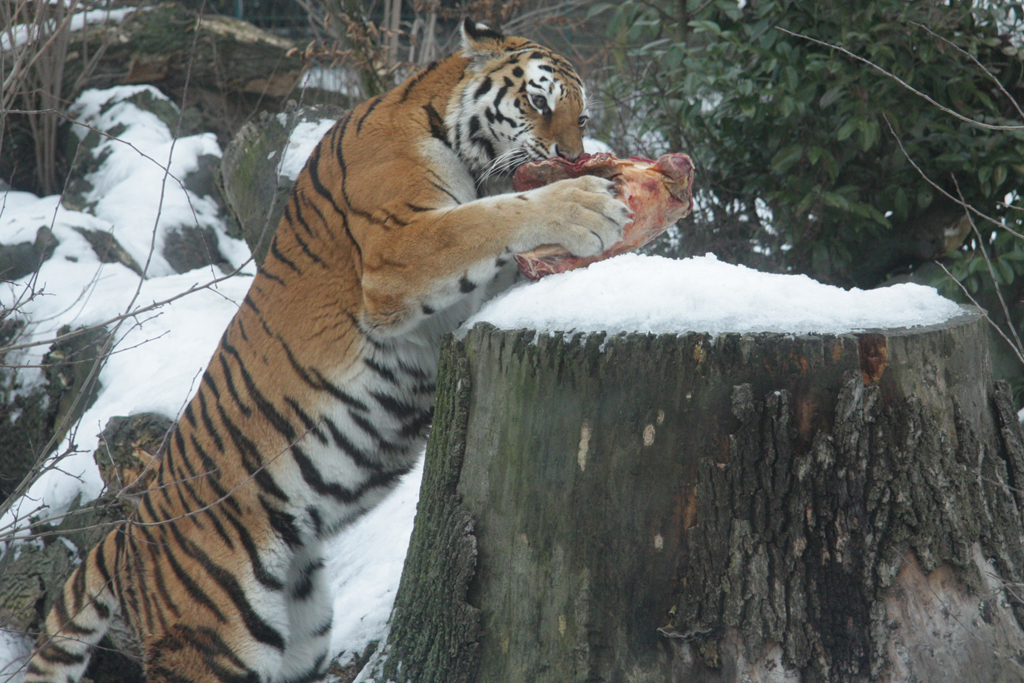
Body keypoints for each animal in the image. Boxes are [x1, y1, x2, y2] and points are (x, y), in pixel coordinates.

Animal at [24, 14, 626, 683]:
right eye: (539, 102)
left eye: (582, 118)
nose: (572, 155)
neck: (439, 120)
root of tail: (126, 530)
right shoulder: (399, 253)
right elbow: (493, 217)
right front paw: (588, 204)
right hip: (215, 644)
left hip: (302, 636)